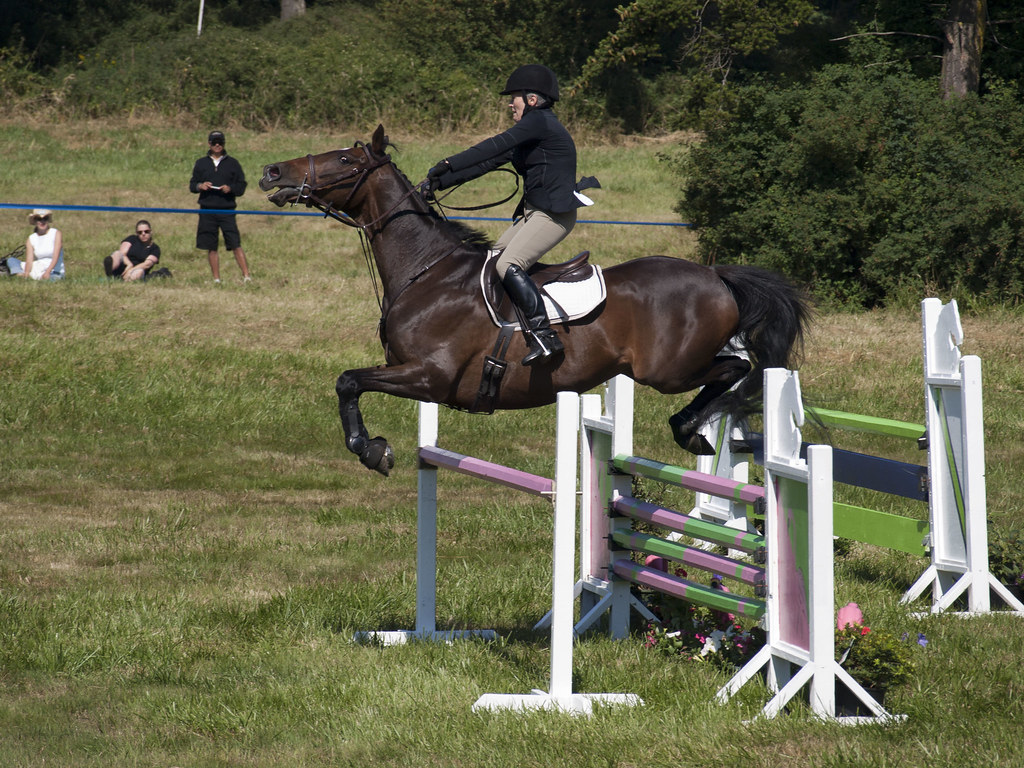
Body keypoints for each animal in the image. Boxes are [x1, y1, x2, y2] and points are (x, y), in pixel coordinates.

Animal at [259, 125, 811, 476]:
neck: (426, 270)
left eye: (345, 160)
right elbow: (349, 383)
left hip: (668, 370)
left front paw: (370, 450)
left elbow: (348, 381)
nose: (271, 172)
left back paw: (688, 427)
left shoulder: (430, 375)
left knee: (736, 369)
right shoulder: (410, 372)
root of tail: (715, 274)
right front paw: (371, 447)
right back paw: (692, 429)